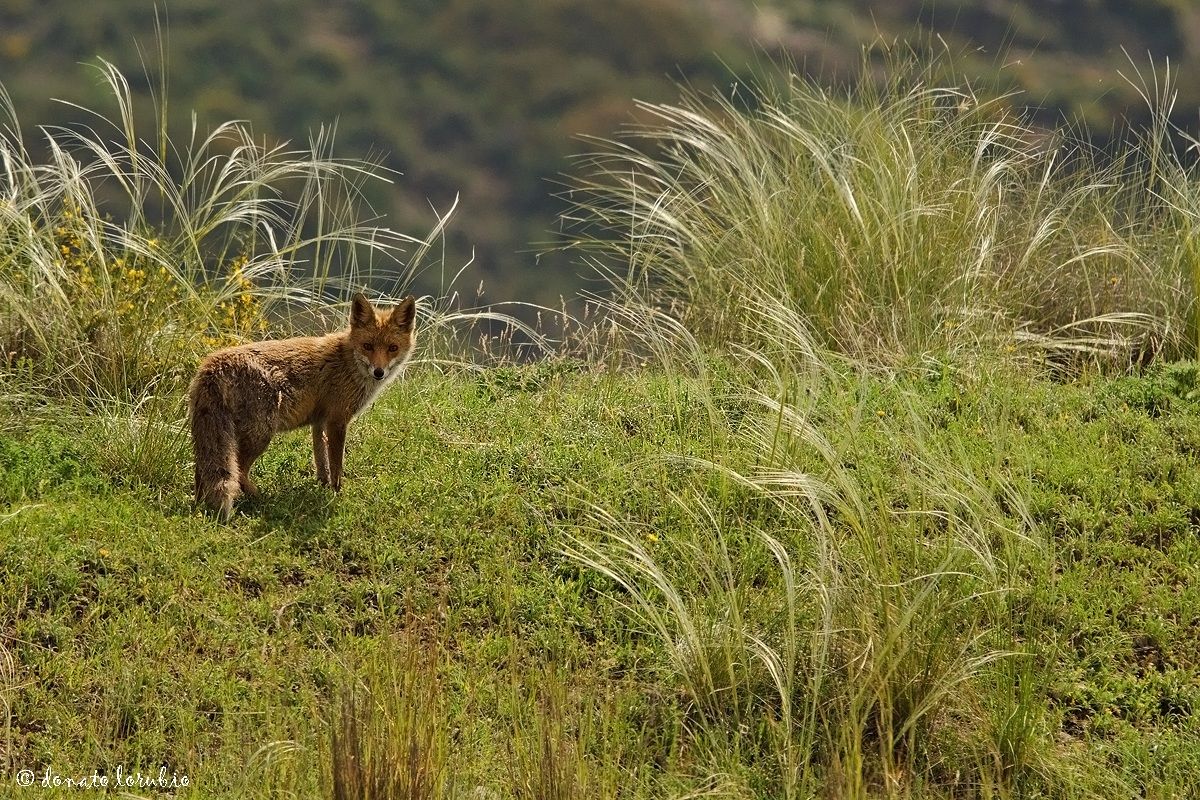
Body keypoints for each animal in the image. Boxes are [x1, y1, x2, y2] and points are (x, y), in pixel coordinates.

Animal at [188, 292, 417, 520]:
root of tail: (212, 365)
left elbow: (321, 460)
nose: (379, 372)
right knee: (239, 472)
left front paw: (323, 486)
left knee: (203, 470)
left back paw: (200, 506)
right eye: (367, 346)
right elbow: (336, 464)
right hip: (260, 435)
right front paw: (337, 493)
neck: (348, 362)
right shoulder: (337, 421)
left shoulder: (320, 421)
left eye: (392, 348)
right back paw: (261, 498)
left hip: (218, 438)